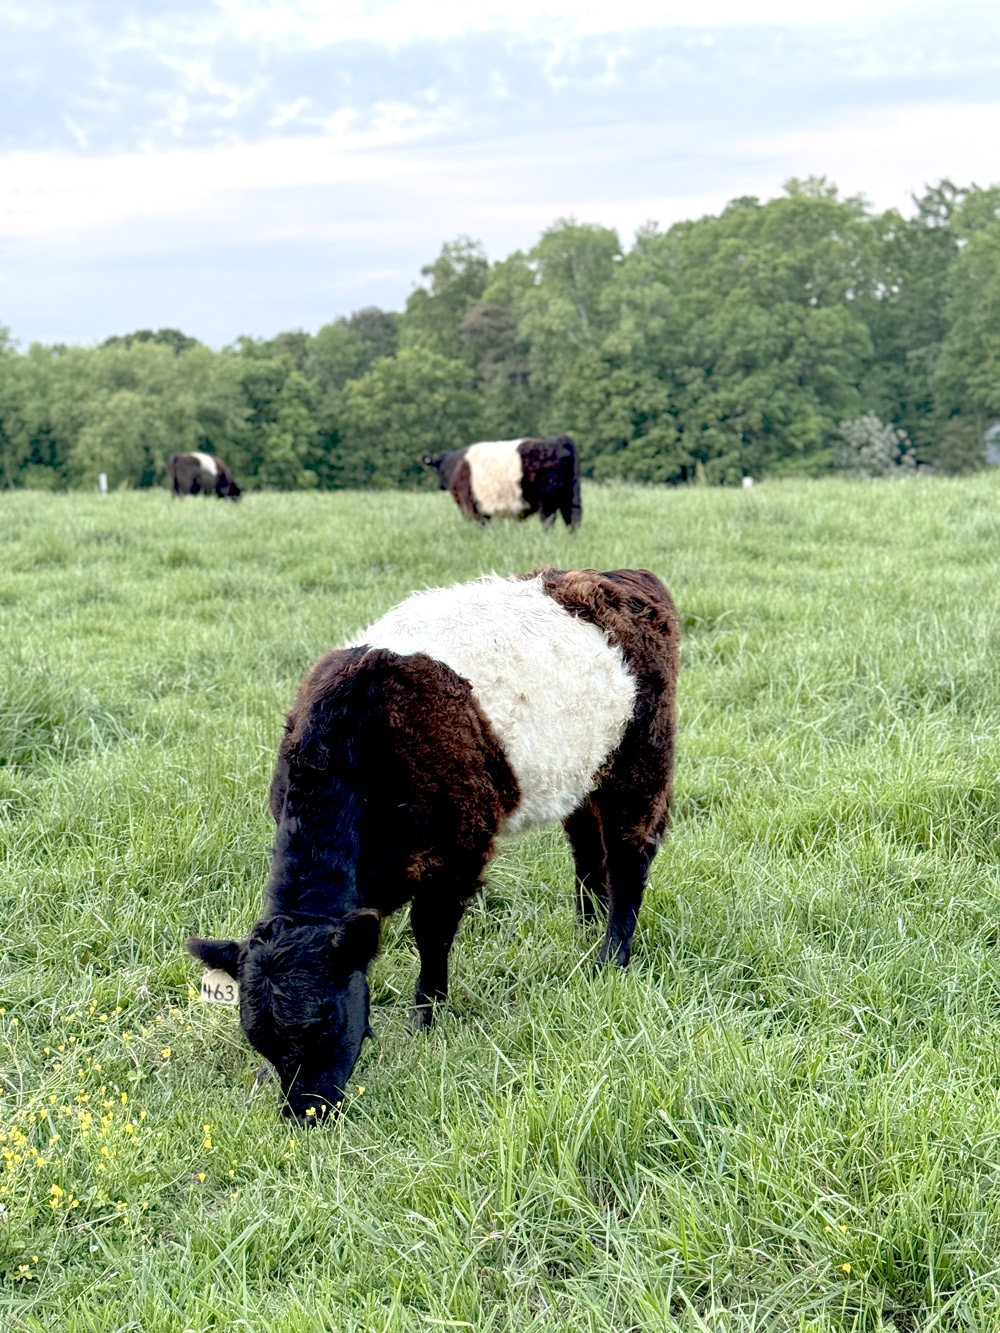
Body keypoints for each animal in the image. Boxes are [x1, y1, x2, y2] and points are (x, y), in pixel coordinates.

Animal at [186, 567, 682, 1119]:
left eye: (326, 1023)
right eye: (261, 1040)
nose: (303, 1115)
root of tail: (619, 577)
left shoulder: (458, 851)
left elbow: (432, 934)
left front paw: (424, 1019)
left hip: (640, 758)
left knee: (628, 853)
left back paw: (610, 957)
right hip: (581, 771)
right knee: (587, 848)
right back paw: (586, 929)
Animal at [421, 431, 578, 525]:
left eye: (440, 470)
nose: (441, 485)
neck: (454, 465)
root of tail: (558, 439)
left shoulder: (470, 508)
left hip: (547, 498)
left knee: (549, 520)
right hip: (569, 494)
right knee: (572, 520)